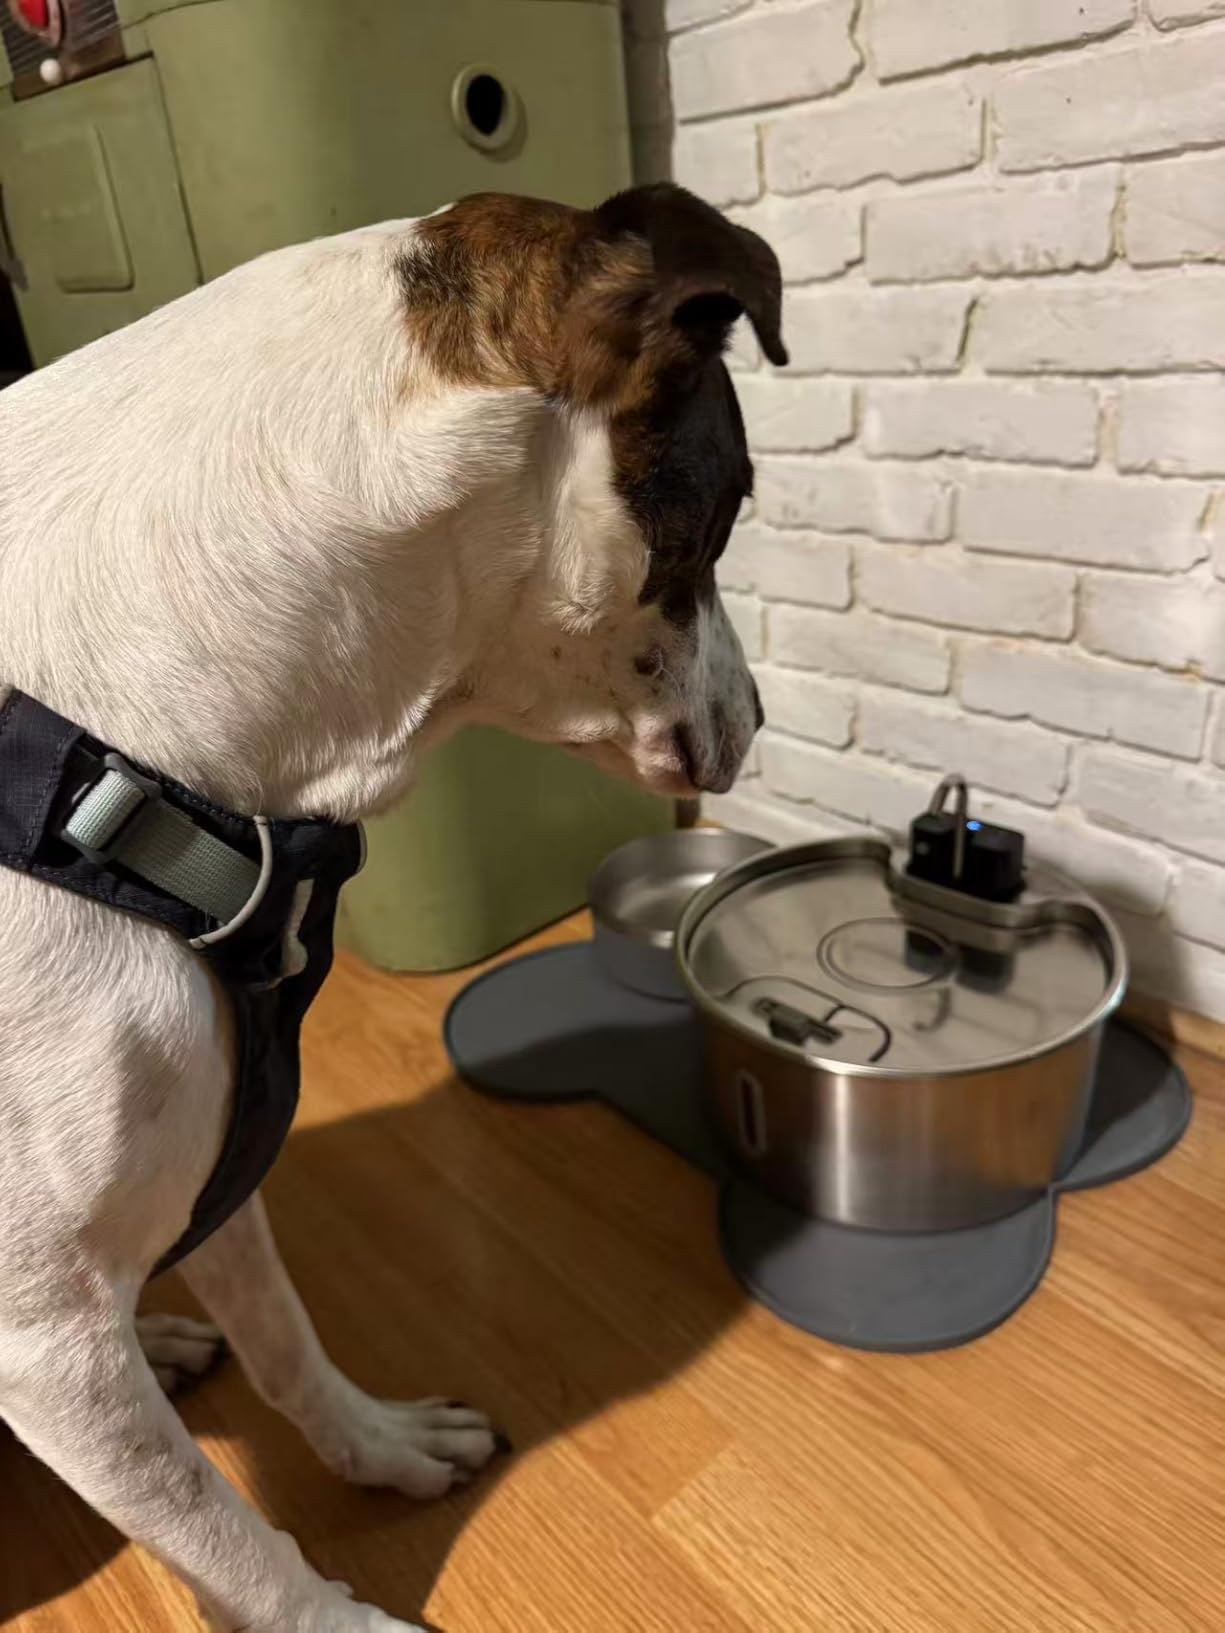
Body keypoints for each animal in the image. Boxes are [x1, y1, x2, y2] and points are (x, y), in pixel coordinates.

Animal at [0, 183, 785, 1632]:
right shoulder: (43, 1343)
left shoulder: (220, 1140)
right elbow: (225, 1533)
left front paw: (376, 1448)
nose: (759, 714)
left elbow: (285, 1342)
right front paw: (336, 1619)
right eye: (728, 506)